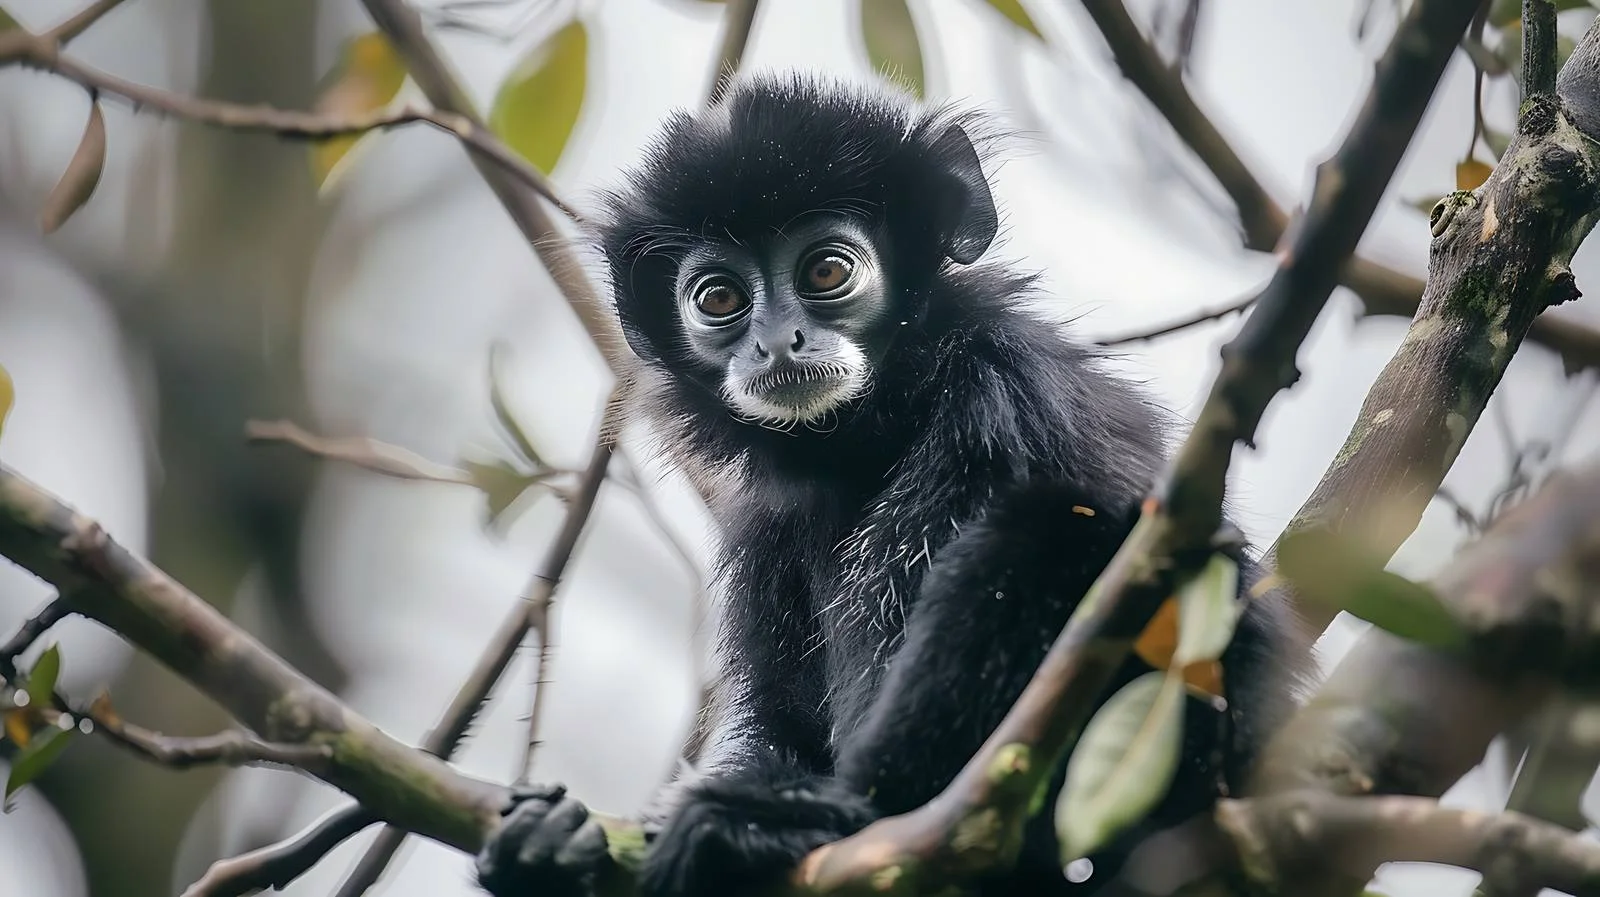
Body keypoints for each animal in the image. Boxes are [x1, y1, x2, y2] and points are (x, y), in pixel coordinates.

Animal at [474, 72, 1308, 897]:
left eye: (826, 271)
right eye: (719, 299)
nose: (778, 340)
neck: (879, 432)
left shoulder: (1010, 386)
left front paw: (782, 819)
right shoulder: (767, 523)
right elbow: (787, 720)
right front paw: (565, 845)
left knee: (1057, 529)